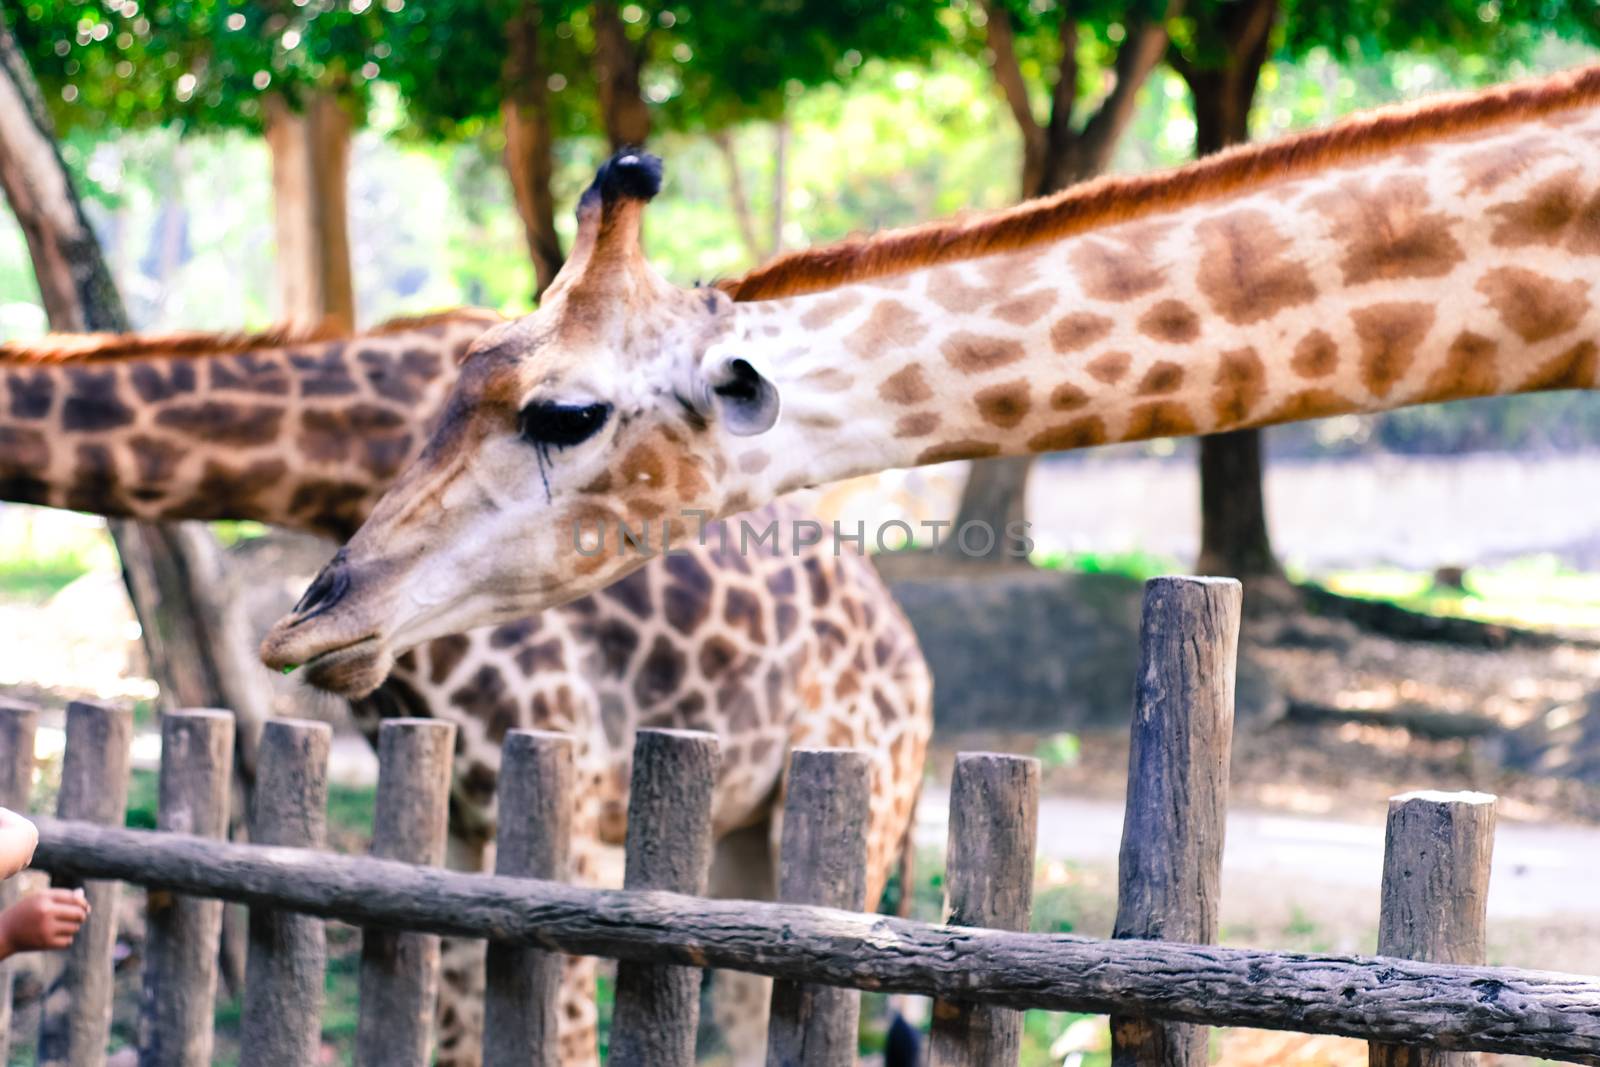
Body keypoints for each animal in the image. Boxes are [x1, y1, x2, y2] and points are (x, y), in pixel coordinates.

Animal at [0, 307, 934, 1062]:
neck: (350, 463)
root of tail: (916, 662)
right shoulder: (454, 807)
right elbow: (450, 1030)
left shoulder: (578, 793)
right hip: (744, 830)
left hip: (859, 807)